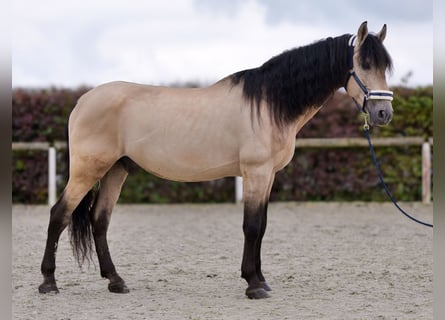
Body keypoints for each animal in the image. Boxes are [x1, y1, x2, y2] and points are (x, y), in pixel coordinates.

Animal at [38, 21, 392, 298]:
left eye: (384, 67)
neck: (268, 104)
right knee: (59, 214)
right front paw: (254, 285)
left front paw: (261, 279)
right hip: (88, 170)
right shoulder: (256, 173)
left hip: (115, 170)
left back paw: (116, 281)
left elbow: (262, 226)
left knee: (99, 220)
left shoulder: (268, 176)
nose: (383, 113)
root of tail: (82, 101)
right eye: (364, 65)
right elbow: (252, 226)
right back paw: (48, 283)